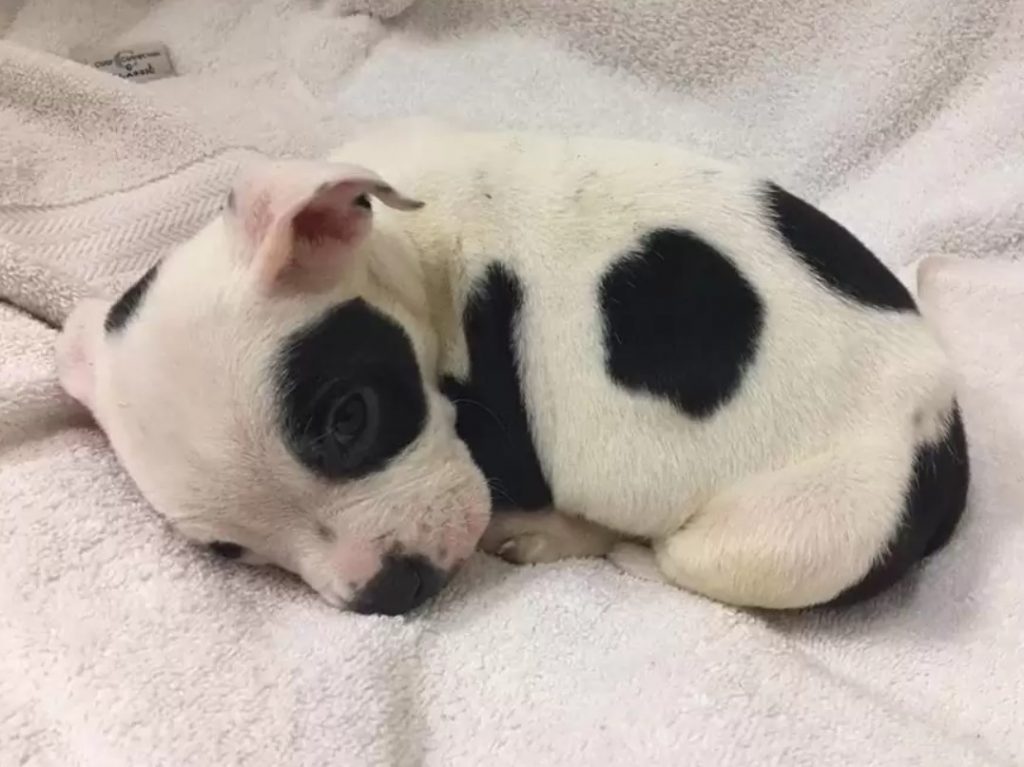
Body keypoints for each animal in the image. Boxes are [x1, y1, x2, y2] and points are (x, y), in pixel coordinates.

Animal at [56, 122, 966, 614]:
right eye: (228, 552)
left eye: (349, 418)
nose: (392, 589)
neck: (410, 248)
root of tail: (939, 439)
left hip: (788, 538)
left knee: (686, 564)